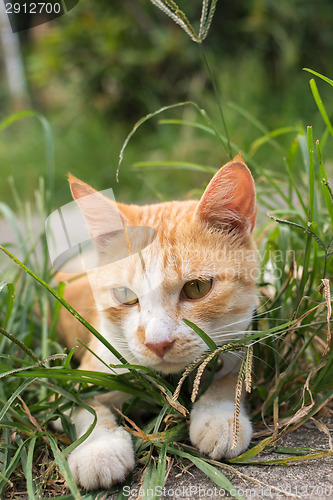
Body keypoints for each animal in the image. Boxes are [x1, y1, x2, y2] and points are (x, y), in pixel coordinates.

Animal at [53, 156, 256, 488]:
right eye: (125, 295)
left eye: (197, 288)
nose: (157, 342)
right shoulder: (78, 379)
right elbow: (85, 407)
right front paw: (99, 449)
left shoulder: (239, 339)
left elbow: (230, 378)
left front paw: (221, 418)